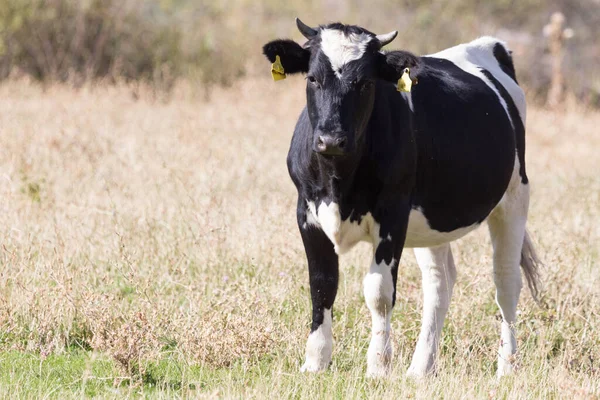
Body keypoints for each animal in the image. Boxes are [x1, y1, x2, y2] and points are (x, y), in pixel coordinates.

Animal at [260, 18, 540, 378]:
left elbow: (379, 292)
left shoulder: (392, 215)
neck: (339, 183)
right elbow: (322, 285)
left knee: (506, 282)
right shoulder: (307, 213)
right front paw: (316, 361)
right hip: (433, 220)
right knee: (439, 283)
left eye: (365, 83)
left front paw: (378, 365)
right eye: (312, 78)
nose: (331, 140)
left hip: (514, 198)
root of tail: (490, 46)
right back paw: (421, 368)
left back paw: (506, 367)